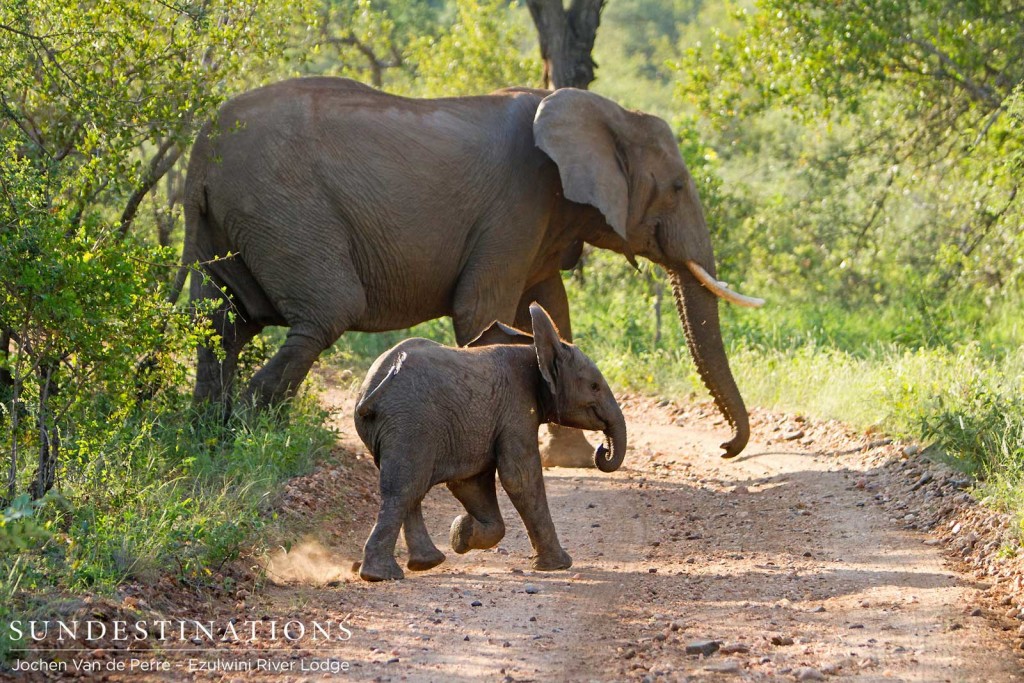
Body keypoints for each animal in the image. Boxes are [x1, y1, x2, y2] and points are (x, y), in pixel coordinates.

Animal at [182, 77, 761, 462]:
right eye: (679, 187)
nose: (725, 446)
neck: (607, 109)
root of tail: (200, 155)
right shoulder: (516, 205)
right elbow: (482, 311)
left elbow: (550, 309)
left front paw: (568, 456)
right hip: (283, 209)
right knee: (324, 313)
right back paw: (253, 435)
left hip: (222, 221)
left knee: (221, 321)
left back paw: (208, 432)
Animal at [352, 305, 626, 581]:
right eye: (595, 386)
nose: (602, 450)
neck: (534, 349)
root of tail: (372, 389)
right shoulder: (515, 408)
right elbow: (520, 478)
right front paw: (559, 566)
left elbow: (470, 482)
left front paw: (460, 534)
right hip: (410, 422)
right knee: (405, 488)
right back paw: (382, 574)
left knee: (411, 490)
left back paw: (425, 563)